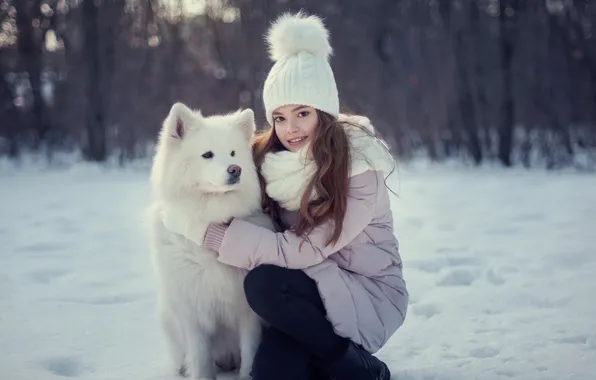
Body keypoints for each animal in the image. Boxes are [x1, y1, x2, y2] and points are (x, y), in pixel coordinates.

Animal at [149, 102, 272, 378]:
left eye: (233, 153)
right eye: (207, 155)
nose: (235, 169)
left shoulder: (247, 311)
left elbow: (250, 352)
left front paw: (246, 375)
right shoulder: (192, 307)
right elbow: (200, 355)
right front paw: (201, 374)